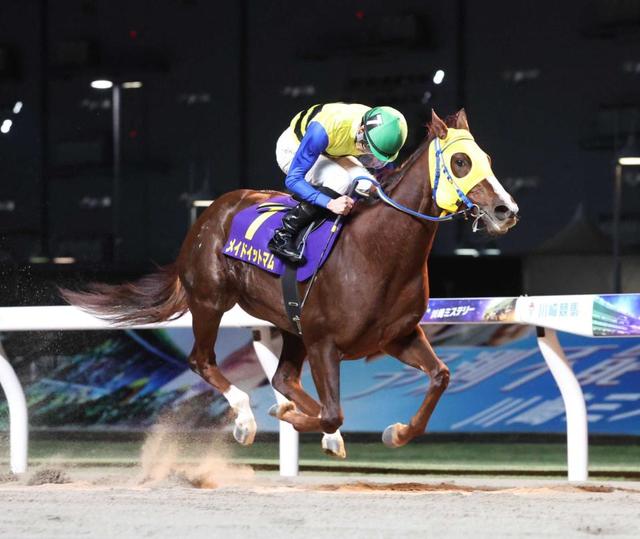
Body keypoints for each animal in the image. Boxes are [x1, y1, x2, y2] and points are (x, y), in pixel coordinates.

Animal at [61, 110, 520, 460]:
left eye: (487, 157)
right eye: (460, 162)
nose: (506, 210)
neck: (377, 253)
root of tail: (210, 213)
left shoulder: (397, 336)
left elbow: (440, 375)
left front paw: (397, 432)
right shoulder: (324, 343)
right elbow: (334, 411)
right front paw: (292, 420)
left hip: (289, 323)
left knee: (283, 380)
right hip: (210, 301)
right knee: (202, 361)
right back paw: (246, 419)